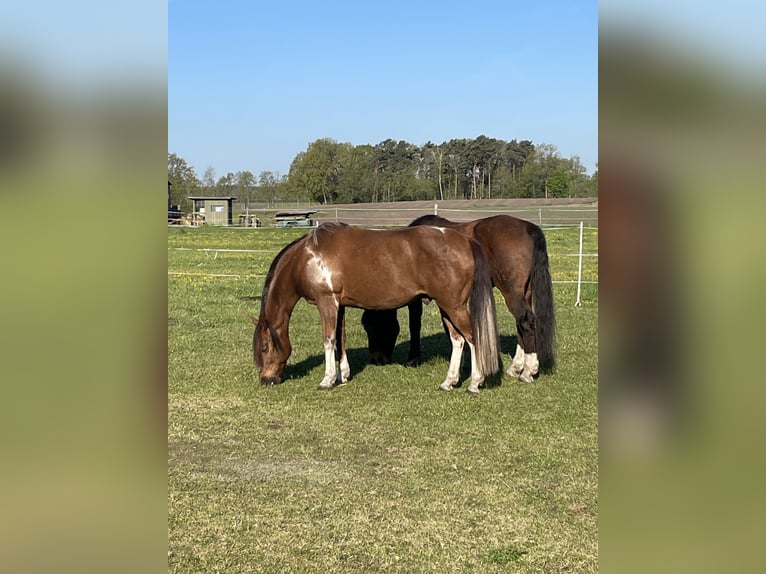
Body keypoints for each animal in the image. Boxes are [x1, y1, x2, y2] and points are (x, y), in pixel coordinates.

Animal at [254, 224, 504, 396]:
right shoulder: (340, 305)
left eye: (265, 348)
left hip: (453, 306)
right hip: (447, 306)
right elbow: (341, 340)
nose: (266, 380)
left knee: (473, 338)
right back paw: (448, 382)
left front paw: (327, 380)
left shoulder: (327, 302)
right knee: (457, 340)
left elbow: (329, 340)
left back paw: (474, 383)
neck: (307, 257)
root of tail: (465, 241)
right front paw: (343, 375)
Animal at [364, 214, 556, 384]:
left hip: (511, 292)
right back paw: (516, 367)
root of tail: (527, 226)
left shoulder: (426, 300)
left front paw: (413, 359)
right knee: (522, 323)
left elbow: (416, 325)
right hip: (525, 292)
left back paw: (528, 371)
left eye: (372, 325)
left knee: (525, 321)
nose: (376, 359)